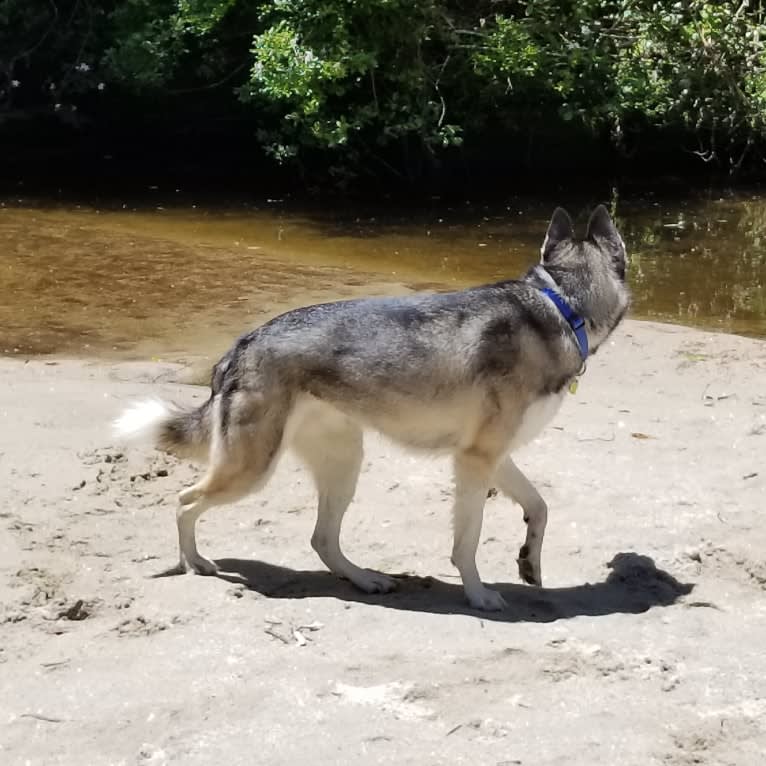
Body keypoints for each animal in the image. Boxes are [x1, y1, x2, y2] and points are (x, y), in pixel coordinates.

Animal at [114, 204, 632, 612]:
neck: (561, 306)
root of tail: (241, 345)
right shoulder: (475, 461)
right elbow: (467, 543)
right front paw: (479, 595)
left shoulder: (491, 457)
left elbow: (539, 507)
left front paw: (529, 561)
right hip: (252, 470)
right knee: (185, 503)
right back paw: (195, 563)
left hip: (343, 465)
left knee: (322, 539)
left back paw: (366, 579)